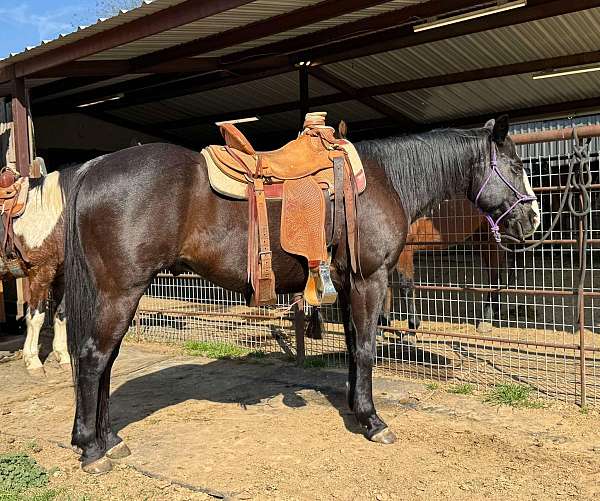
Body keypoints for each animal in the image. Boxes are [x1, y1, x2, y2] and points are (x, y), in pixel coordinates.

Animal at [65, 114, 540, 472]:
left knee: (104, 360)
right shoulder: (371, 281)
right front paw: (373, 421)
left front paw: (355, 406)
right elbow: (366, 348)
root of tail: (92, 168)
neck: (383, 180)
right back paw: (92, 449)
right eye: (517, 167)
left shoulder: (348, 285)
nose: (532, 222)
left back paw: (108, 439)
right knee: (94, 358)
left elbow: (352, 347)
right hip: (121, 291)